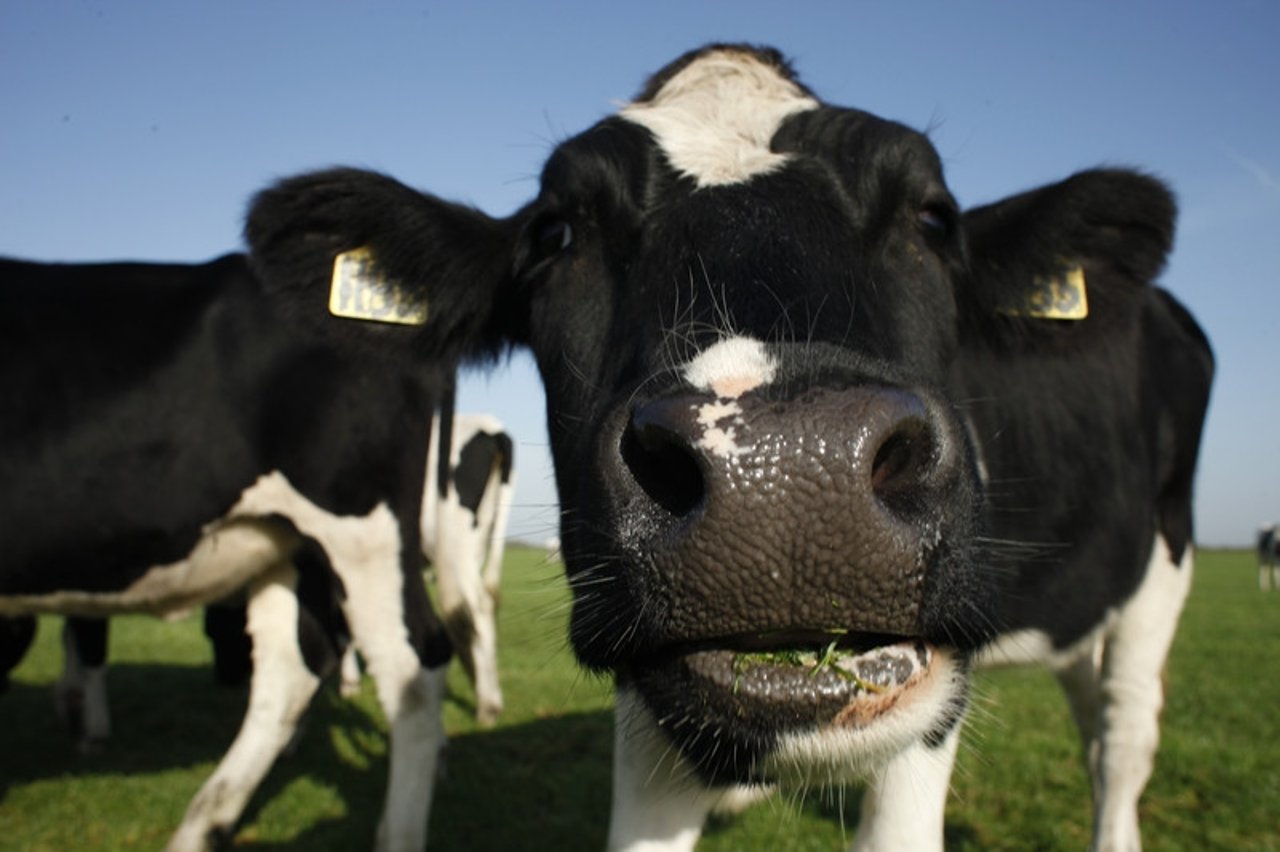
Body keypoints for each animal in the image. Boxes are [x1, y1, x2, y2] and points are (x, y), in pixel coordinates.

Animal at [0, 252, 504, 849]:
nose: (223, 675)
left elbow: (86, 639)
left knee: (421, 660)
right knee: (296, 666)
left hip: (365, 535)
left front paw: (88, 728)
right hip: (292, 544)